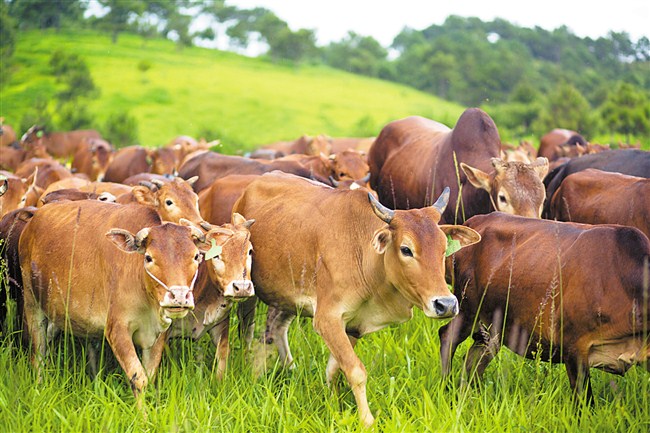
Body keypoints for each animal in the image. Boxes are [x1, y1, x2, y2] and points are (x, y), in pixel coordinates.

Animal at [19, 201, 205, 400]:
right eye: (149, 257)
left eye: (196, 256)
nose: (179, 297)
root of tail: (34, 218)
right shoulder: (117, 329)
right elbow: (138, 378)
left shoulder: (159, 333)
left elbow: (149, 377)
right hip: (32, 304)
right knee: (38, 354)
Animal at [230, 172, 478, 426]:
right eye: (406, 249)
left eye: (443, 248)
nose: (446, 304)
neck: (364, 254)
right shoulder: (327, 319)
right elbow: (356, 371)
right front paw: (366, 420)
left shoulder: (353, 325)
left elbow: (334, 369)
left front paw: (333, 405)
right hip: (248, 291)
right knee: (247, 330)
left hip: (287, 296)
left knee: (277, 328)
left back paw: (290, 369)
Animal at [436, 214, 648, 400]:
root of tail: (475, 220)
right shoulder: (574, 346)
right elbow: (584, 403)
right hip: (467, 307)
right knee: (447, 336)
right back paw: (446, 388)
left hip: (495, 325)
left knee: (475, 358)